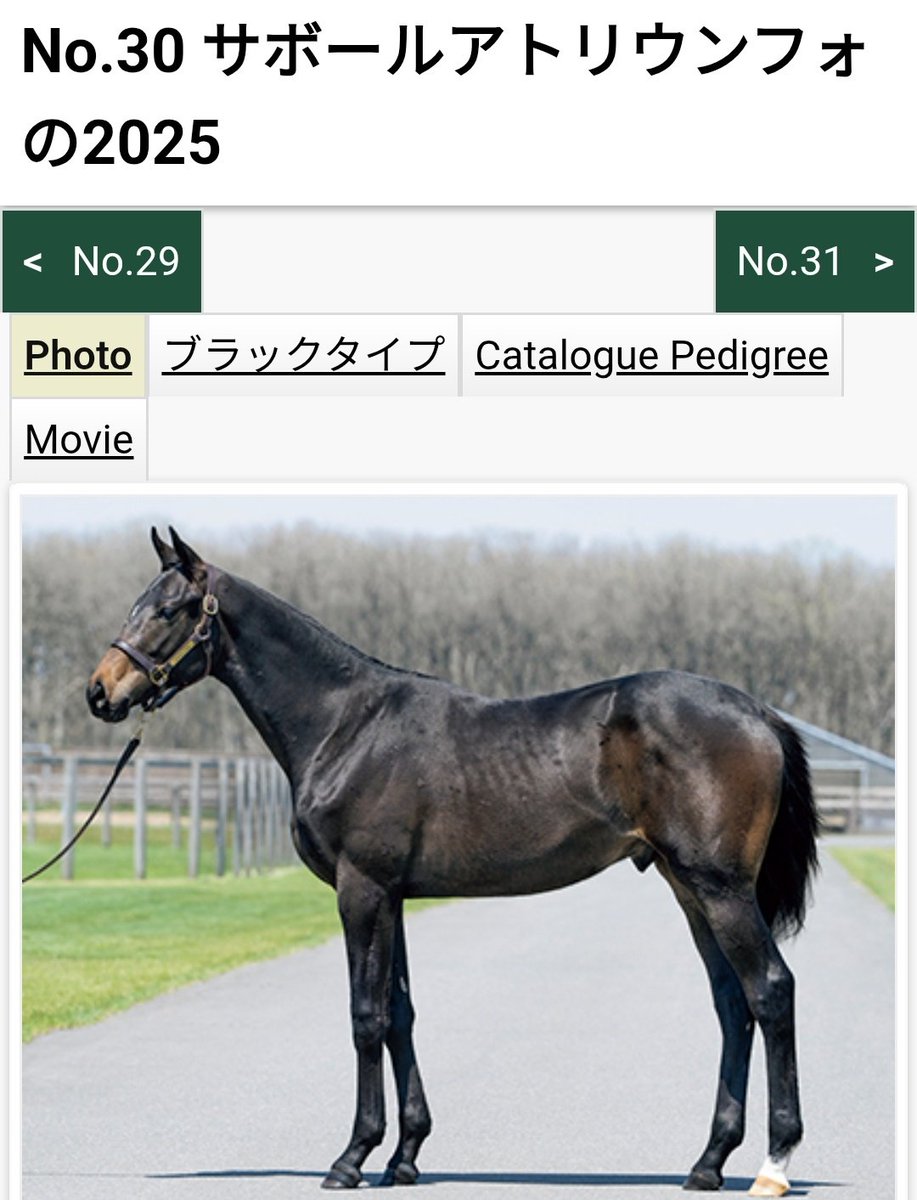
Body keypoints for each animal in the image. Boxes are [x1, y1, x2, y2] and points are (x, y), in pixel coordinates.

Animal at [87, 527, 819, 1197]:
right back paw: (708, 1163)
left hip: (720, 889)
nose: (100, 692)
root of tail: (759, 712)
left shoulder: (361, 890)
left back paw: (773, 1165)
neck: (346, 725)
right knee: (732, 1003)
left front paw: (351, 1158)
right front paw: (404, 1156)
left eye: (170, 609)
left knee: (771, 991)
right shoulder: (392, 895)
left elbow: (366, 1016)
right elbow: (400, 1013)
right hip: (687, 887)